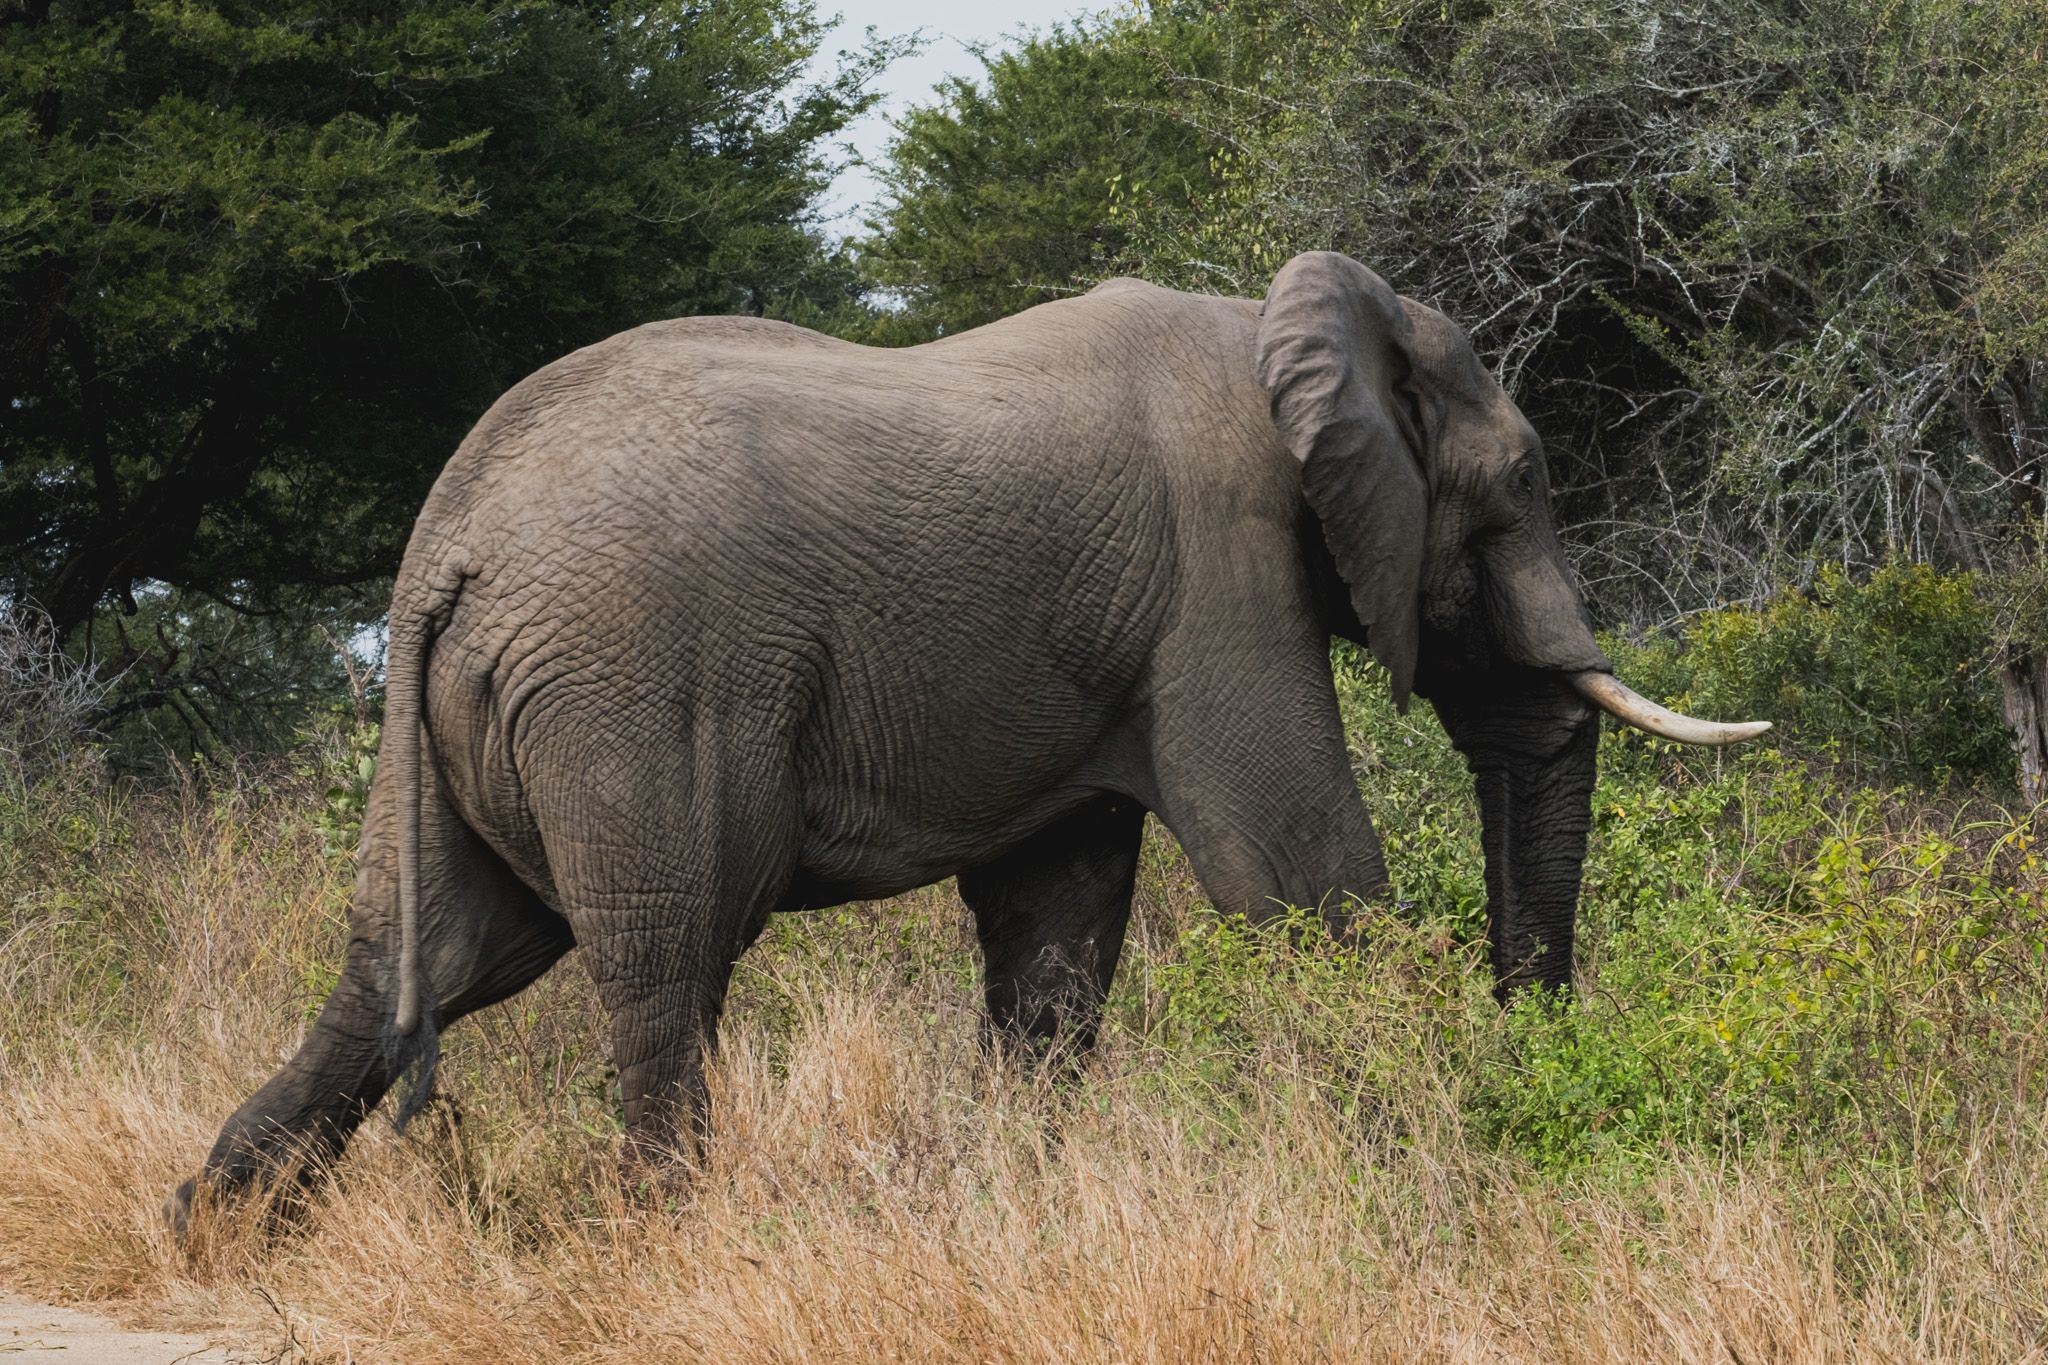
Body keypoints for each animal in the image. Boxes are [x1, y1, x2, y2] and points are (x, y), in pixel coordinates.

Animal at [167, 250, 1765, 1225]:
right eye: (1521, 488)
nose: (1535, 1058)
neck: (1277, 324)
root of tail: (446, 552)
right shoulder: (1221, 573)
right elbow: (1300, 872)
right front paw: (1435, 1162)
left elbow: (1057, 928)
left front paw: (1010, 1201)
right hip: (631, 690)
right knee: (663, 959)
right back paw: (670, 1235)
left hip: (467, 722)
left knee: (424, 960)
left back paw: (211, 1237)